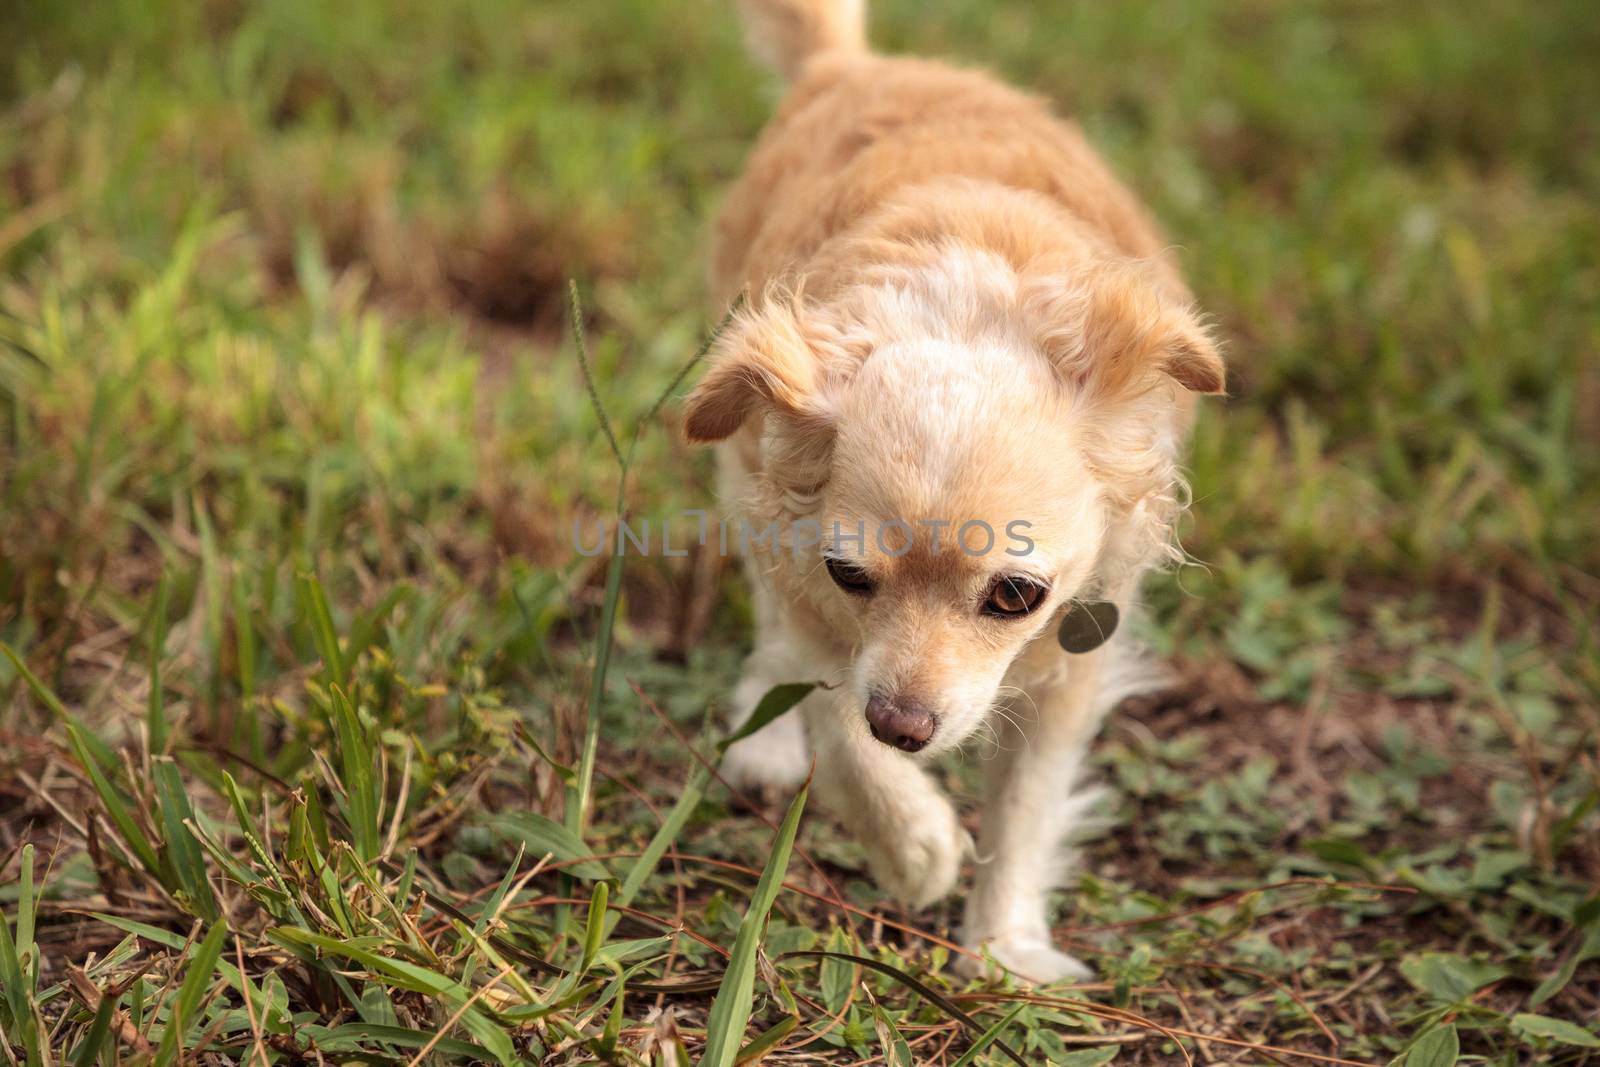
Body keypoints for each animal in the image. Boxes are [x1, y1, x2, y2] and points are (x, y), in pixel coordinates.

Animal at [684, 0, 1222, 979]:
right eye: (850, 576)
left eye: (1016, 595)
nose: (904, 724)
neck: (966, 305)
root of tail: (855, 67)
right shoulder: (811, 585)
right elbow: (838, 727)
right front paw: (913, 844)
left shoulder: (1072, 657)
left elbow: (1023, 805)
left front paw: (1003, 947)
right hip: (743, 467)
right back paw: (769, 735)